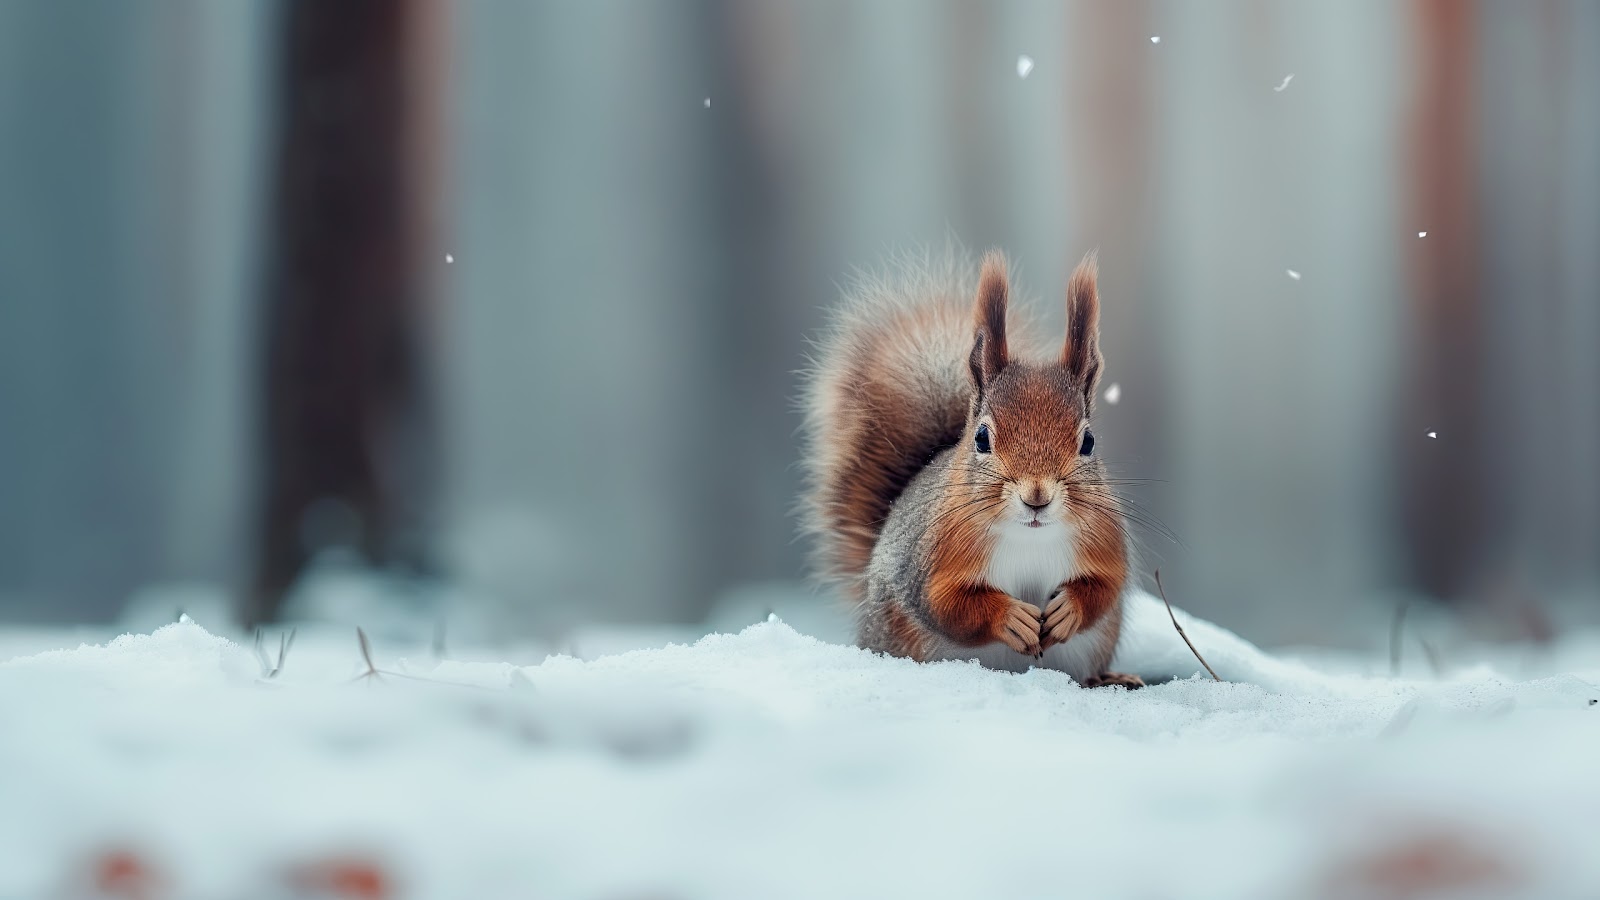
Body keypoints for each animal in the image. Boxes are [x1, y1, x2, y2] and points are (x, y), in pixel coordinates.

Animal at [801, 249, 1143, 688]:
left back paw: (1106, 678)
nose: (1037, 497)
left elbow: (1105, 587)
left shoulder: (1105, 540)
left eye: (1088, 442)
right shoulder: (933, 558)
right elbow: (946, 604)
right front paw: (1009, 617)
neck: (1028, 536)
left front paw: (1070, 609)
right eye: (981, 438)